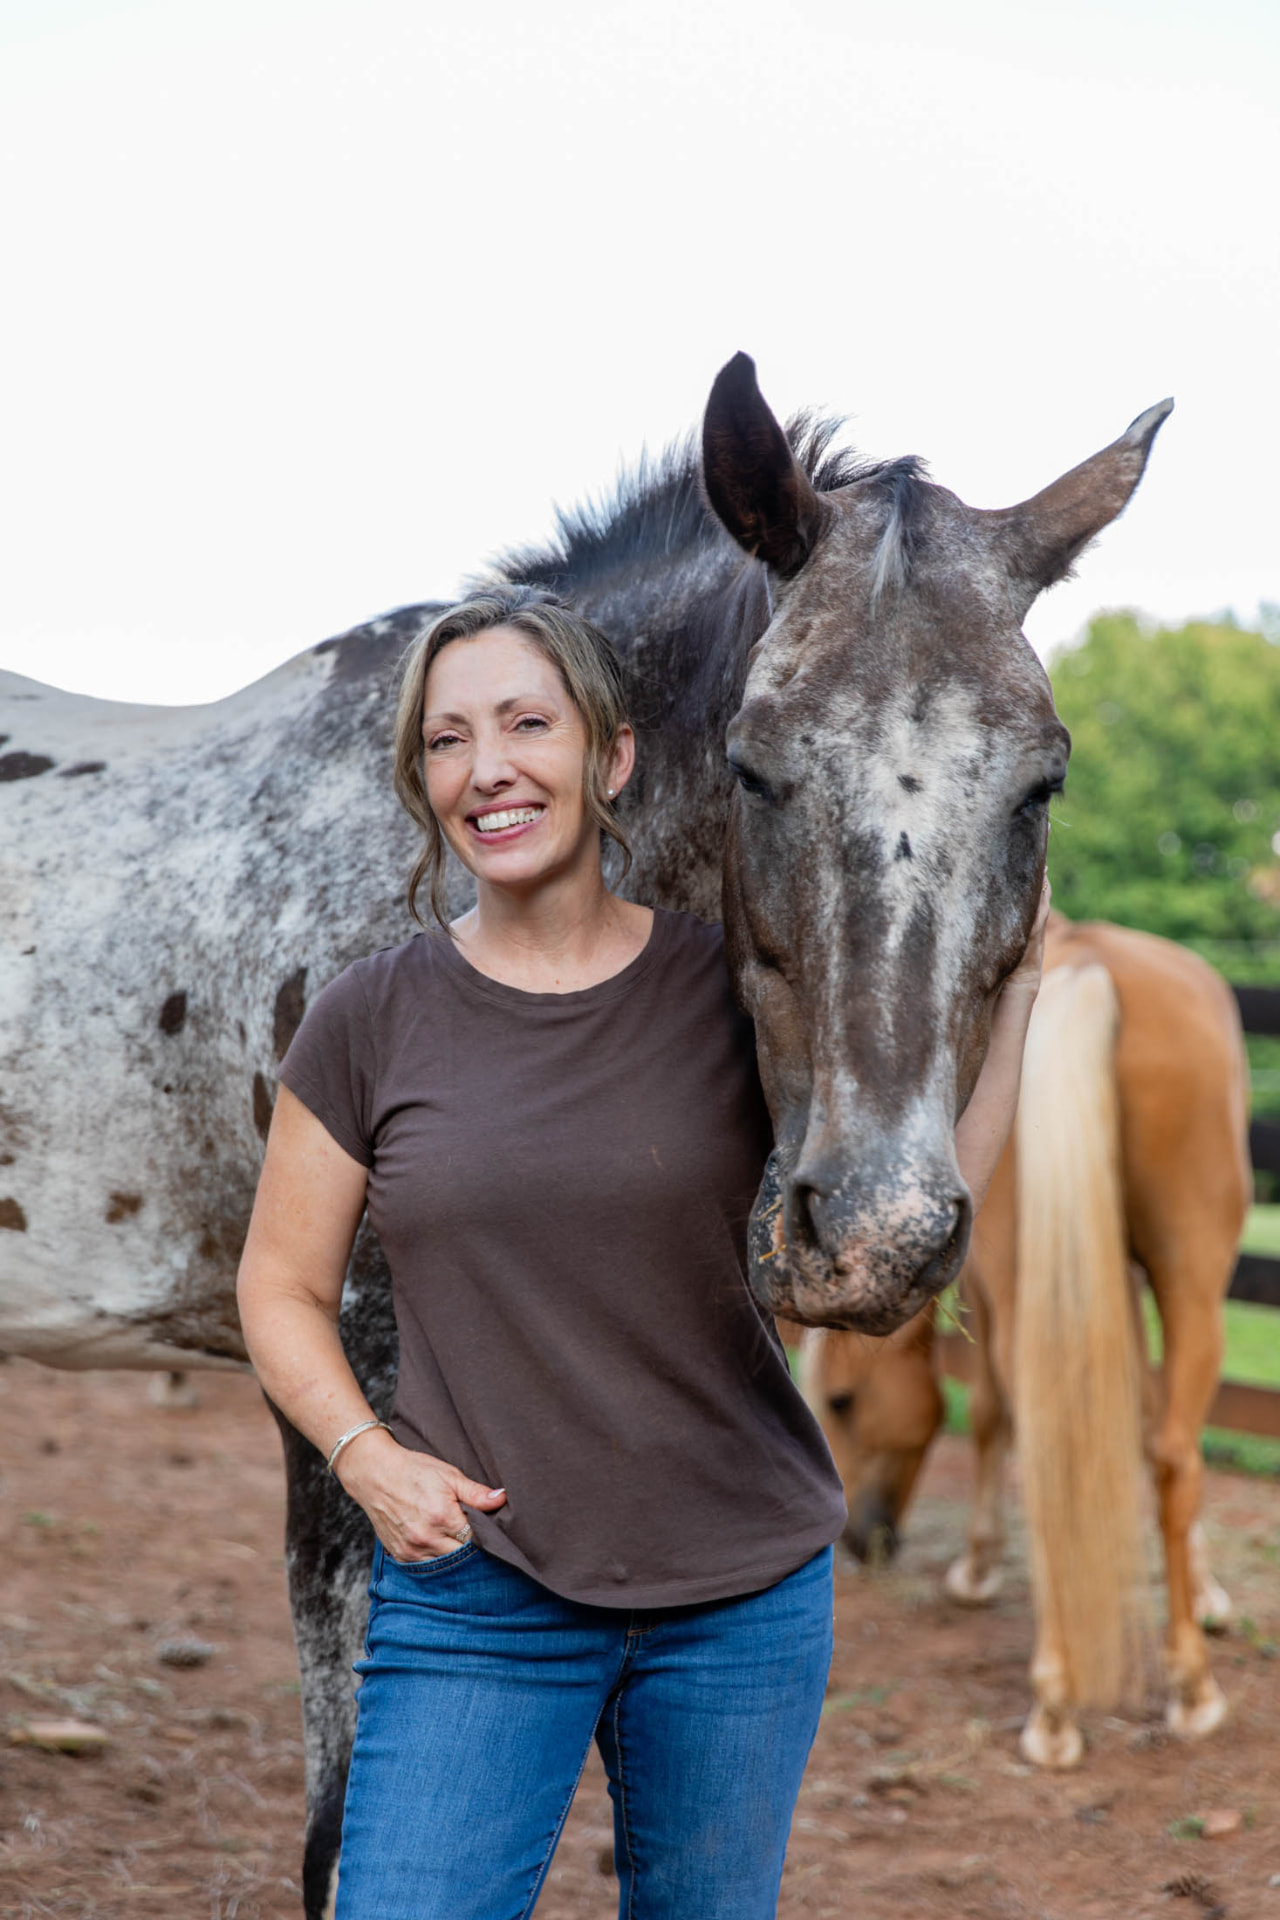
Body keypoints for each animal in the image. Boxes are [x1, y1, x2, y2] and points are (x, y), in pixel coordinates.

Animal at [805, 912, 1251, 1768]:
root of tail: (1090, 964)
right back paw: (1169, 1689)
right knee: (1165, 1451)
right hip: (1184, 1283)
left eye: (840, 1403)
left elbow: (995, 1414)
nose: (859, 1539)